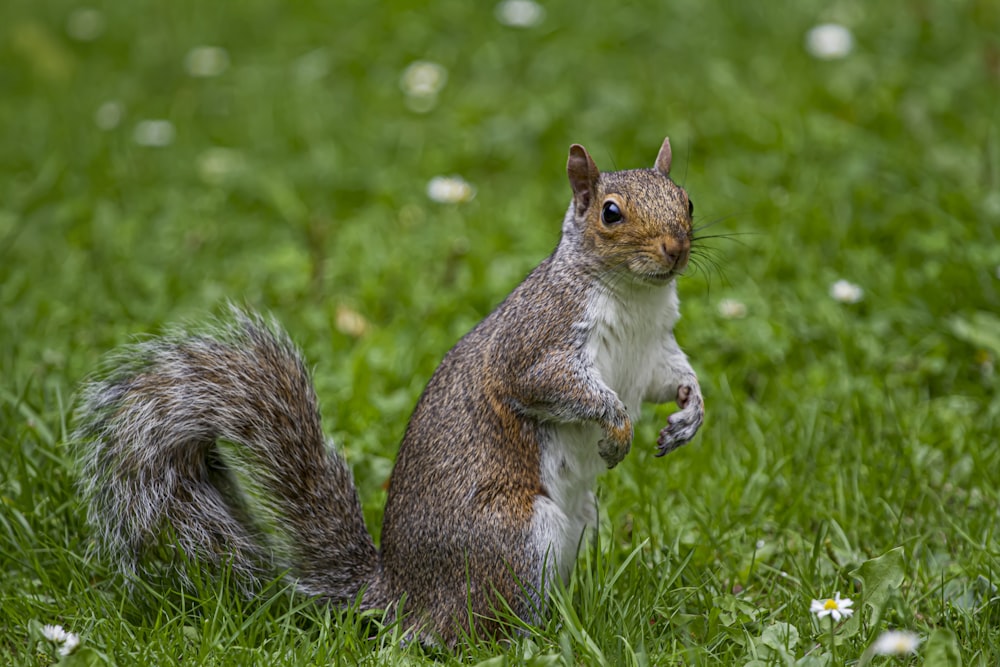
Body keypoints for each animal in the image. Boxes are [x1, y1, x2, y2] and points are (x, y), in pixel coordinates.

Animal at [72, 137, 704, 648]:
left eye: (689, 200)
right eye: (611, 213)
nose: (675, 249)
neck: (634, 296)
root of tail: (401, 593)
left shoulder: (654, 350)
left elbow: (672, 379)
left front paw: (690, 415)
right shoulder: (538, 341)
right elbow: (553, 385)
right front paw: (616, 426)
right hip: (514, 539)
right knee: (468, 632)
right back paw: (534, 639)